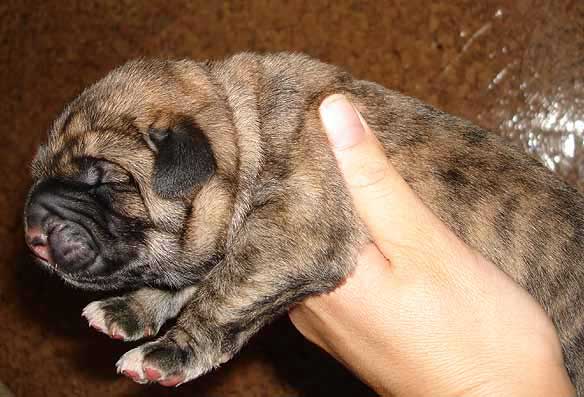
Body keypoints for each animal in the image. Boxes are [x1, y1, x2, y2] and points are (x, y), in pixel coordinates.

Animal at [22, 52, 584, 390]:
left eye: (101, 177)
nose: (33, 227)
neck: (248, 132)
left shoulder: (290, 234)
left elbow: (221, 295)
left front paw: (167, 352)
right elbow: (190, 280)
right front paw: (131, 308)